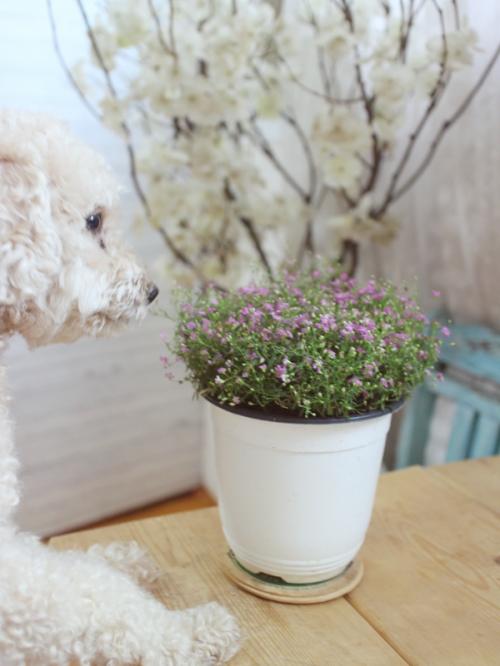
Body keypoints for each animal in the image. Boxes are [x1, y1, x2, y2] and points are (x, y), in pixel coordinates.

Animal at [0, 111, 240, 665]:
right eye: (94, 221)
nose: (152, 289)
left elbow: (82, 570)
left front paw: (120, 558)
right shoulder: (15, 581)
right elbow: (94, 603)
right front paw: (190, 634)